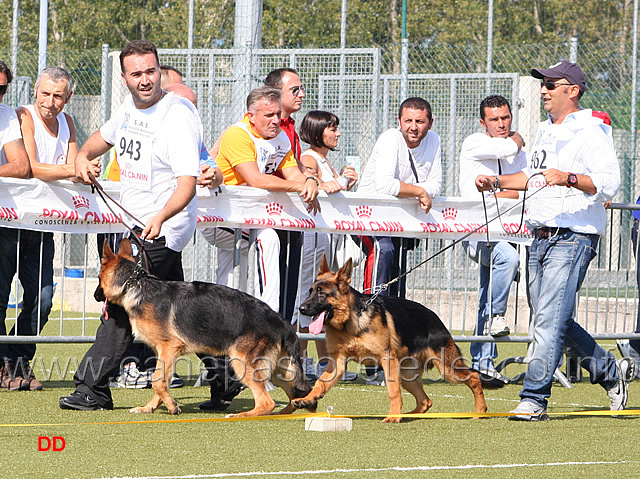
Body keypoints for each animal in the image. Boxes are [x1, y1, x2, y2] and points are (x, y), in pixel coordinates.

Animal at [95, 239, 316, 416]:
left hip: (243, 363)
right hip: (279, 371)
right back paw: (289, 410)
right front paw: (153, 407)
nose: (96, 296)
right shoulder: (163, 353)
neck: (134, 285)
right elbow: (161, 382)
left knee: (266, 402)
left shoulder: (169, 347)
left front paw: (171, 406)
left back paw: (243, 415)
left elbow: (158, 381)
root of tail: (281, 322)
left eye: (98, 278)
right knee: (297, 394)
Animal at [294, 255, 490, 424]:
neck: (350, 321)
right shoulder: (338, 363)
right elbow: (320, 383)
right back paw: (408, 415)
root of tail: (436, 318)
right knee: (425, 401)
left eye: (321, 294)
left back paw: (480, 410)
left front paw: (393, 416)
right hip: (407, 375)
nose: (301, 308)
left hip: (446, 369)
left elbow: (393, 391)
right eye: (310, 292)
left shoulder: (386, 359)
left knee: (474, 377)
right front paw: (307, 398)